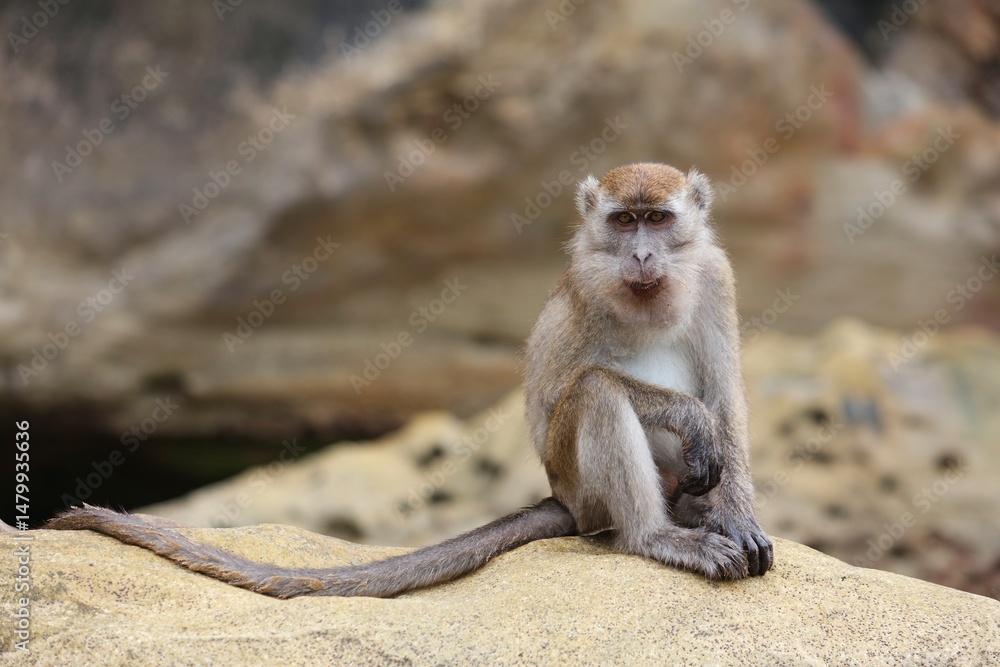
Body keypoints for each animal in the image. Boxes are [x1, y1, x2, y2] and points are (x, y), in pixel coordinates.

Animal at [46, 162, 773, 598]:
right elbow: (560, 394)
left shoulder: (717, 275)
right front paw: (687, 417)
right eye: (624, 220)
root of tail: (565, 498)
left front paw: (739, 516)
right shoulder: (587, 286)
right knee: (595, 395)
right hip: (584, 488)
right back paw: (653, 535)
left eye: (658, 219)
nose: (643, 255)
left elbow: (727, 394)